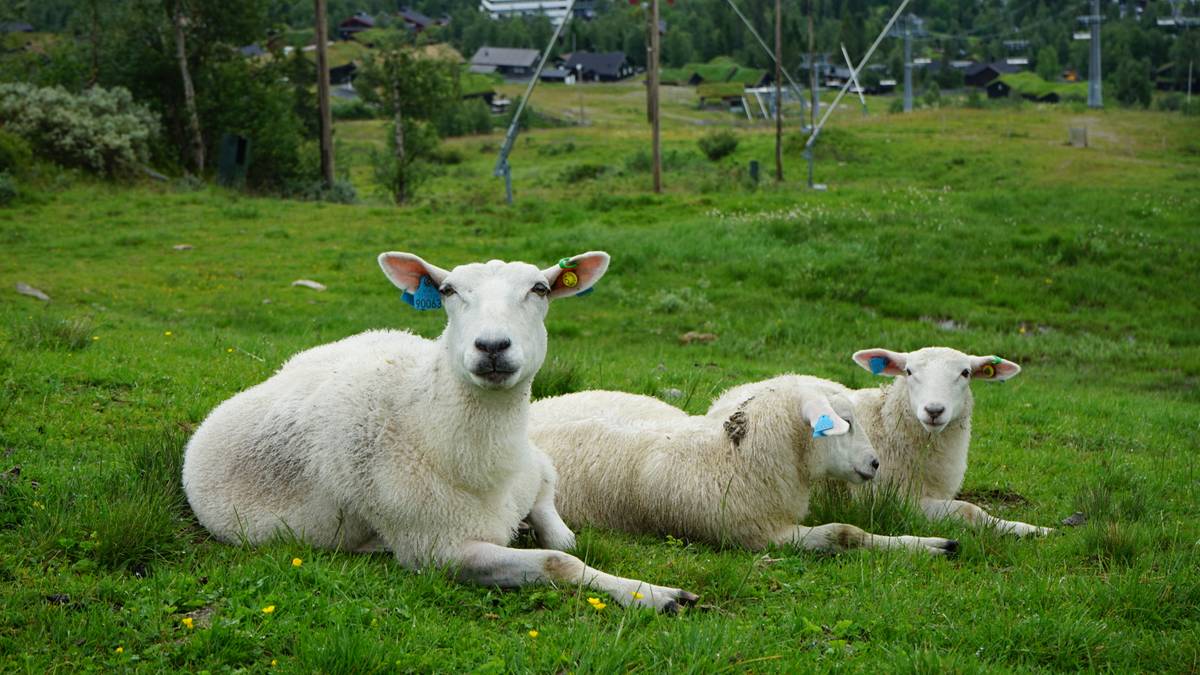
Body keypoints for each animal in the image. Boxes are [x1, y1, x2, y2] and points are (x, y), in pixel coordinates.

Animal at [182, 251, 700, 610]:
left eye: (539, 288)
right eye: (448, 290)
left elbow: (563, 538)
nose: (491, 345)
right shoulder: (438, 549)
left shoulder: (536, 469)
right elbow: (561, 560)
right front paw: (653, 594)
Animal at [530, 372, 960, 552]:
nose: (874, 464)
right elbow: (844, 533)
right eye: (845, 423)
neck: (735, 458)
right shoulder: (757, 535)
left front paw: (936, 543)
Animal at [849, 345, 1056, 535]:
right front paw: (1030, 530)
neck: (885, 426)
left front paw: (1034, 529)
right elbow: (971, 510)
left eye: (965, 373)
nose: (934, 410)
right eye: (908, 371)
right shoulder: (890, 500)